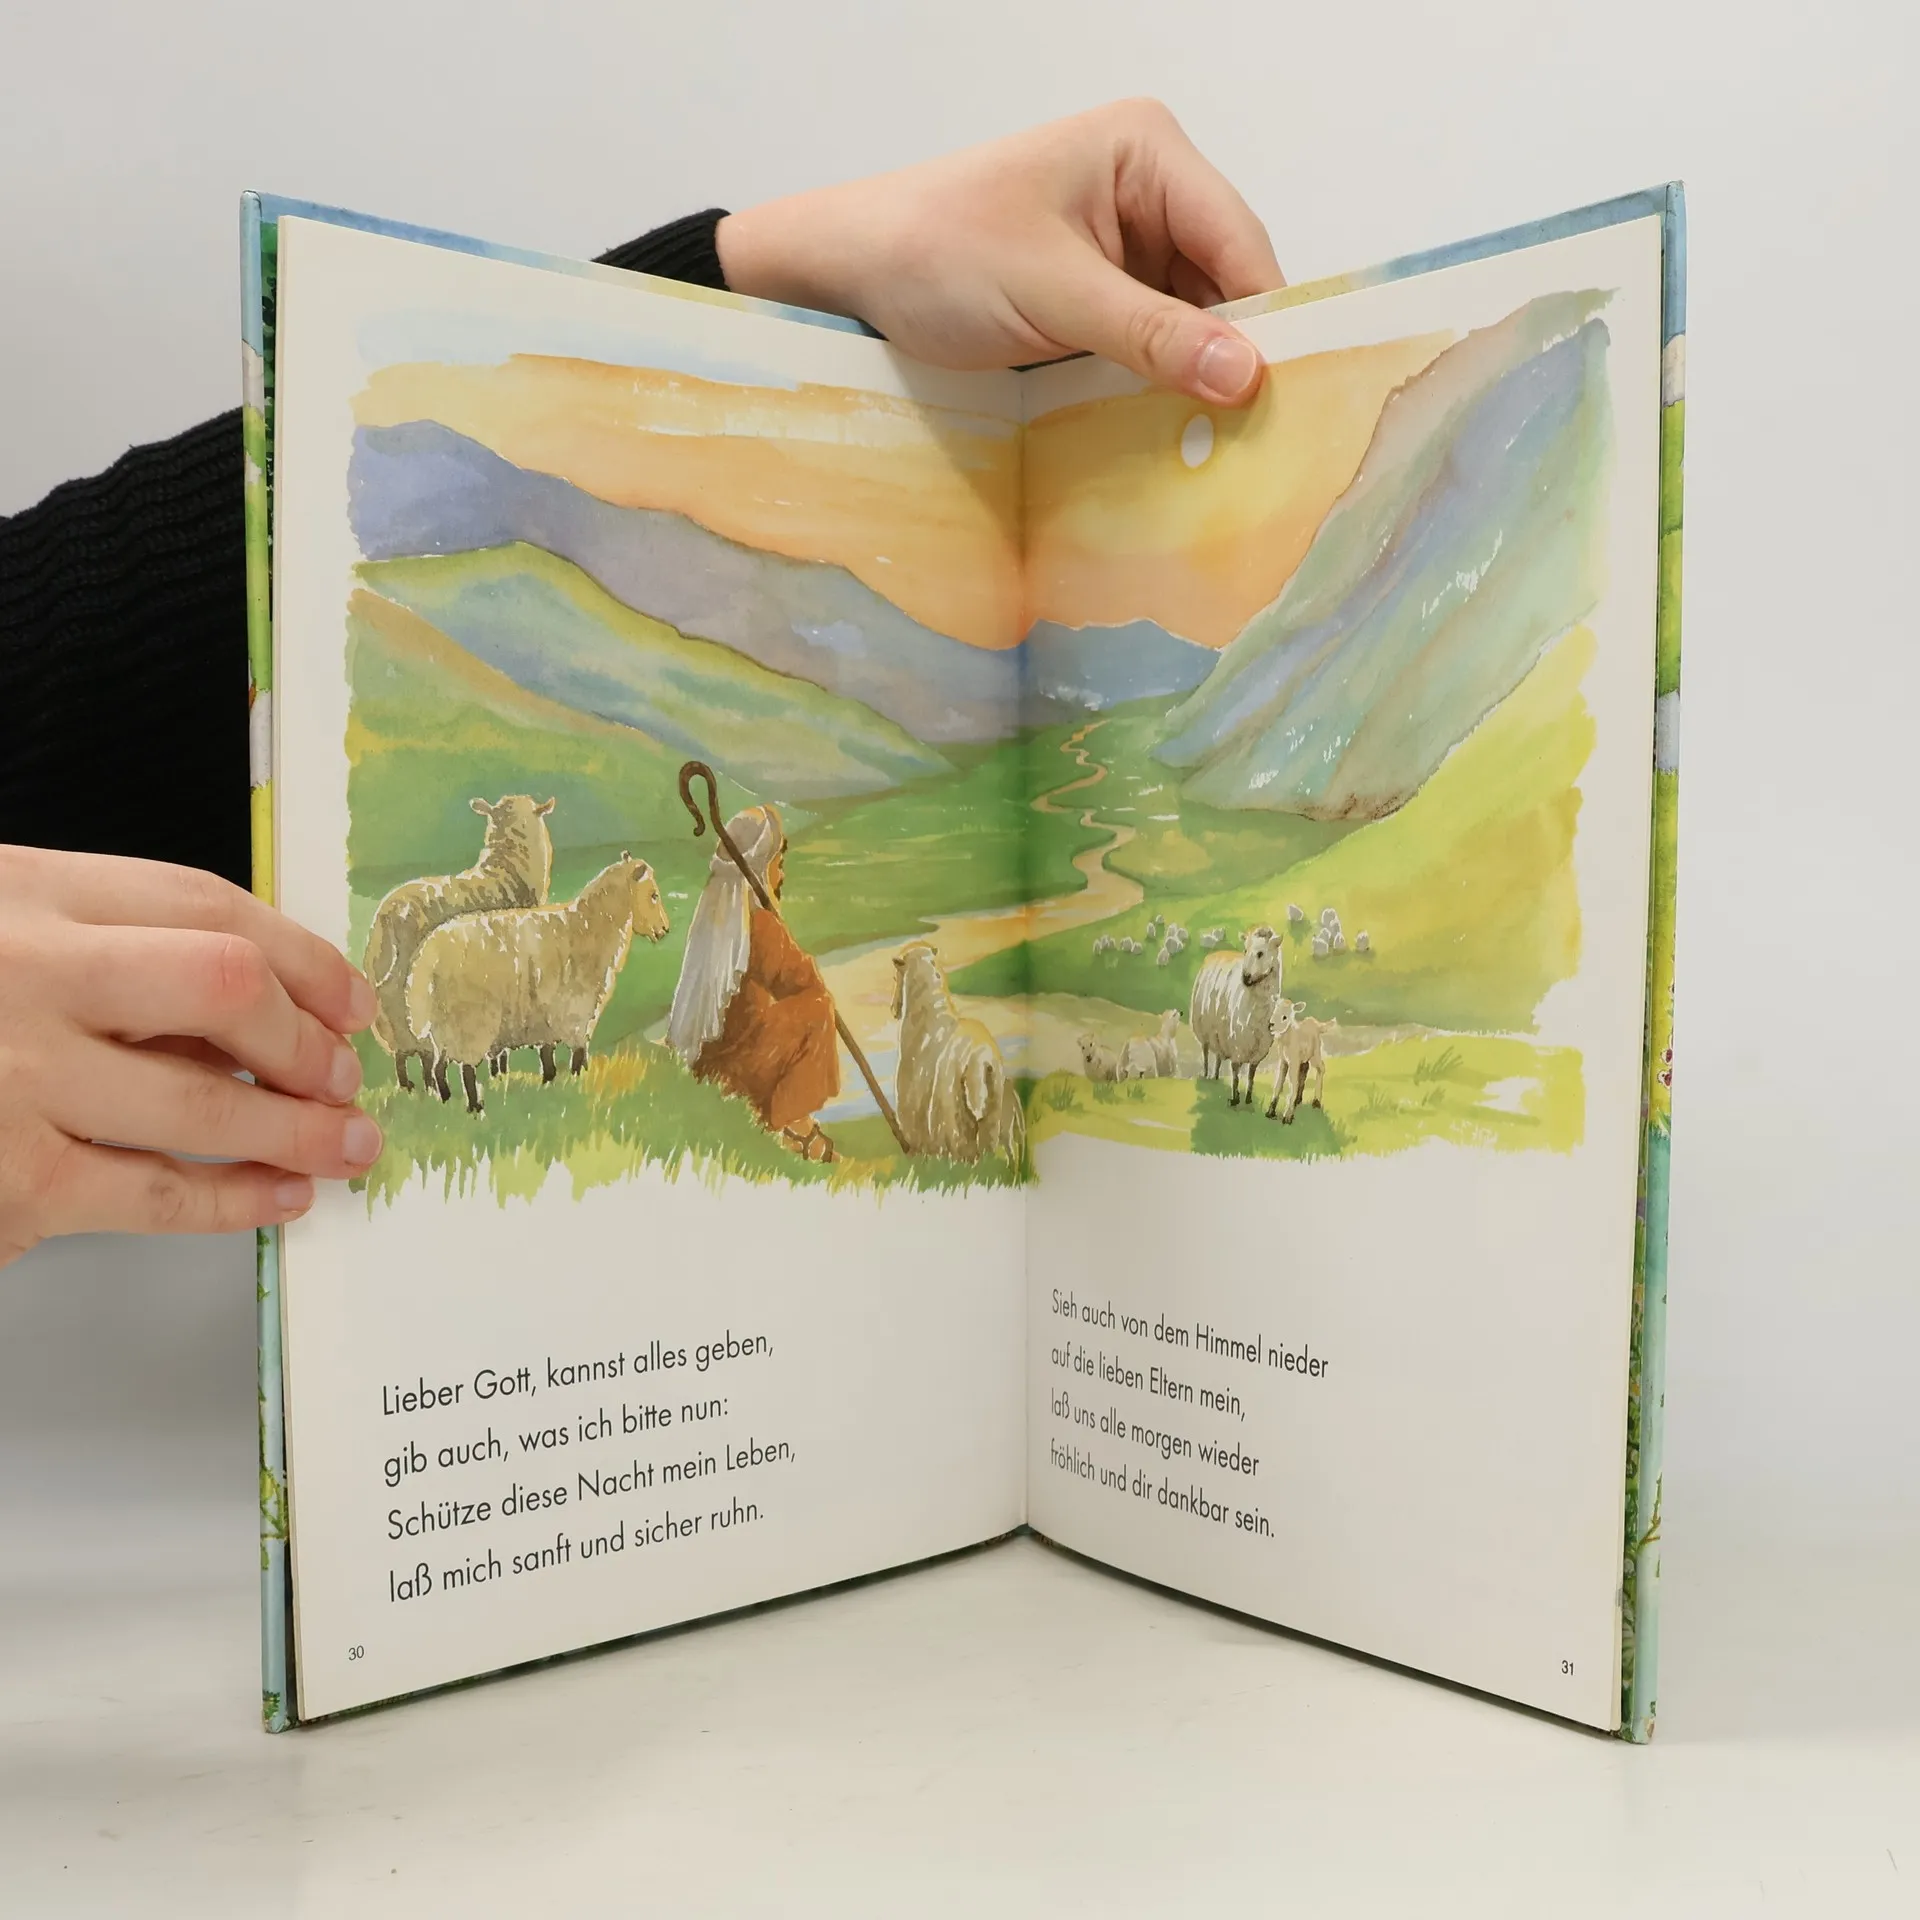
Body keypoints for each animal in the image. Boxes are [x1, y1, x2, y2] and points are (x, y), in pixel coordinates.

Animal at [364, 795, 555, 1091]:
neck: (506, 871)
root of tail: (389, 915)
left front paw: (496, 1073)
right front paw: (500, 1073)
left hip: (384, 994)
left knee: (400, 1046)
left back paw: (411, 1086)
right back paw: (430, 1086)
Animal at [406, 852, 669, 1114]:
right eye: (654, 895)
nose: (665, 930)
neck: (590, 927)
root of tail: (428, 955)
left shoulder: (546, 1017)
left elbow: (548, 1056)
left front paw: (551, 1083)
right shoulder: (575, 1011)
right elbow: (578, 1054)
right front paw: (576, 1082)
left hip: (444, 1026)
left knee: (438, 1067)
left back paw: (446, 1099)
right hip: (470, 1021)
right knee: (466, 1069)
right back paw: (475, 1108)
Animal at [890, 942, 1024, 1165]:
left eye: (896, 976)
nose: (893, 1009)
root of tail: (982, 1059)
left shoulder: (915, 1120)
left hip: (955, 1118)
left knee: (966, 1155)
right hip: (993, 1111)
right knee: (987, 1151)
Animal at [1187, 925, 1284, 1108]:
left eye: (1260, 953)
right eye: (1245, 950)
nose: (1245, 977)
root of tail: (1217, 953)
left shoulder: (1258, 1051)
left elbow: (1251, 1075)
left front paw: (1248, 1099)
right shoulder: (1237, 1045)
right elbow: (1236, 1073)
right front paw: (1234, 1099)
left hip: (1219, 1033)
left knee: (1218, 1056)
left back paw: (1216, 1077)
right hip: (1202, 1028)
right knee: (1205, 1052)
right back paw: (1206, 1074)